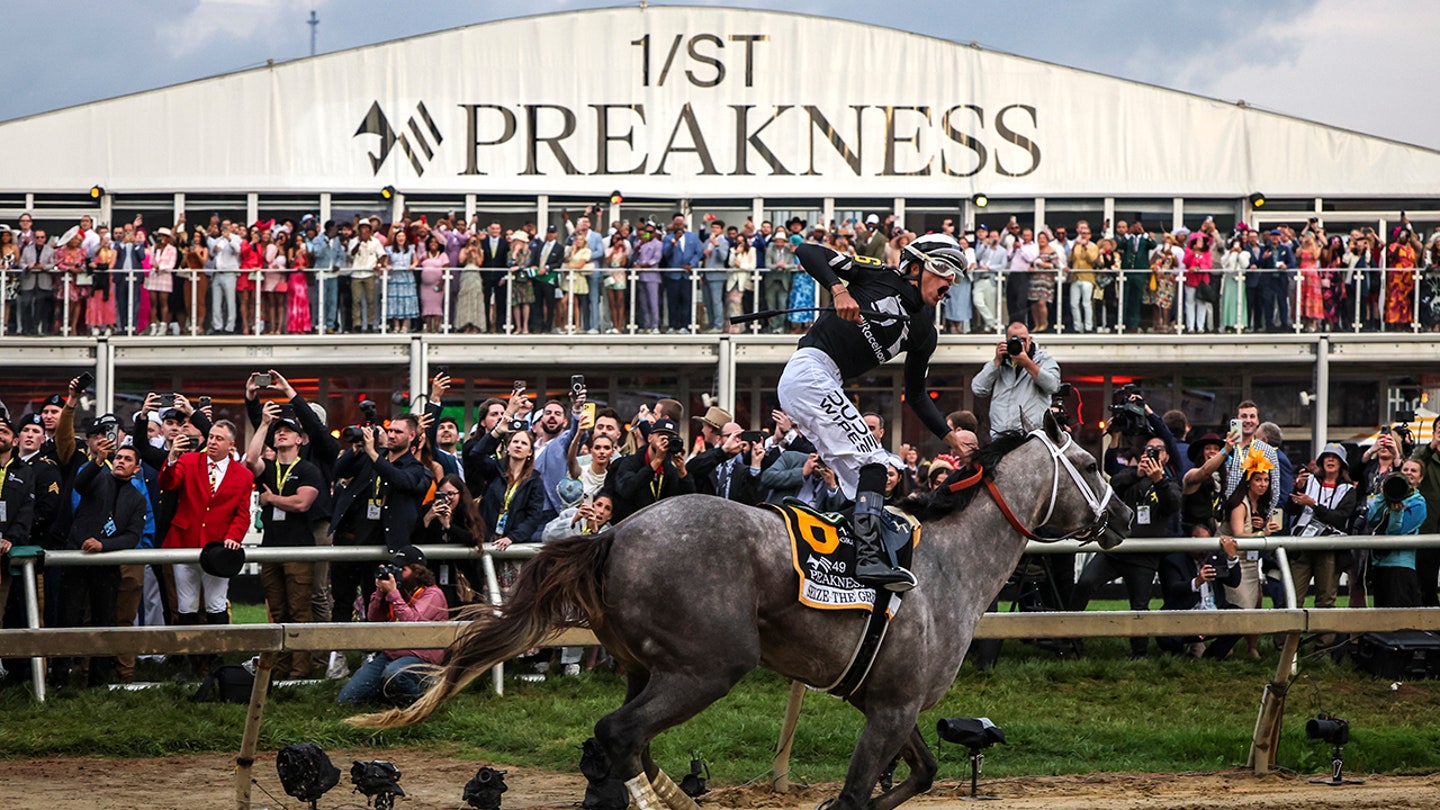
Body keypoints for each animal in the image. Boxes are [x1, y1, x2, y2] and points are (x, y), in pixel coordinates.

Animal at [354, 415, 1128, 807]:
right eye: (1091, 464)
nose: (1122, 515)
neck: (946, 566)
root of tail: (613, 533)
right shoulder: (890, 708)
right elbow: (858, 796)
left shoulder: (891, 702)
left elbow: (925, 773)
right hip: (708, 667)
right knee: (618, 734)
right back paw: (666, 796)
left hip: (647, 667)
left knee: (621, 743)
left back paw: (666, 791)